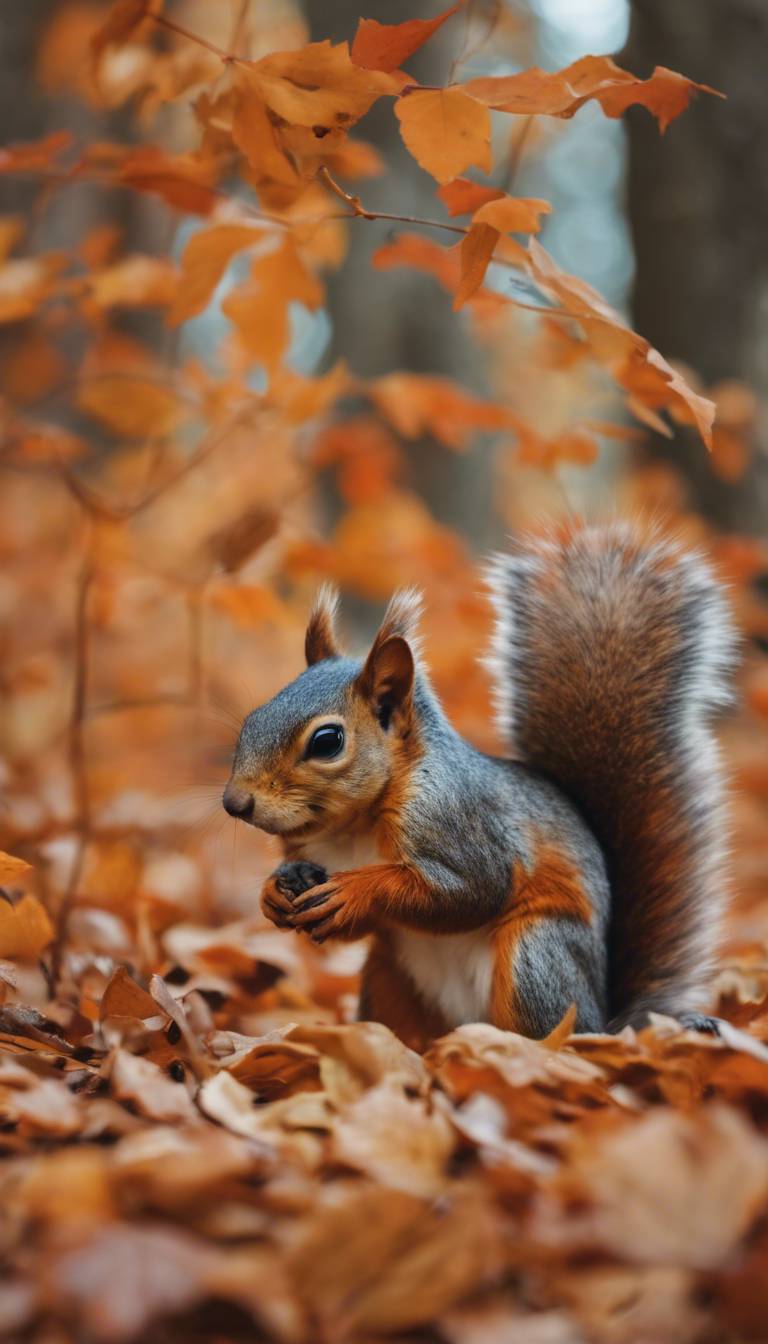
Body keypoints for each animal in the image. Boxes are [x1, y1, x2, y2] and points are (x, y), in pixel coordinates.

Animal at [223, 518, 737, 1053]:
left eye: (327, 741)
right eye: (252, 719)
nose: (234, 802)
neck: (354, 825)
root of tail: (611, 1018)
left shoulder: (456, 819)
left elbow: (472, 890)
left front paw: (357, 890)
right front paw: (273, 893)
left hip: (535, 959)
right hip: (390, 978)